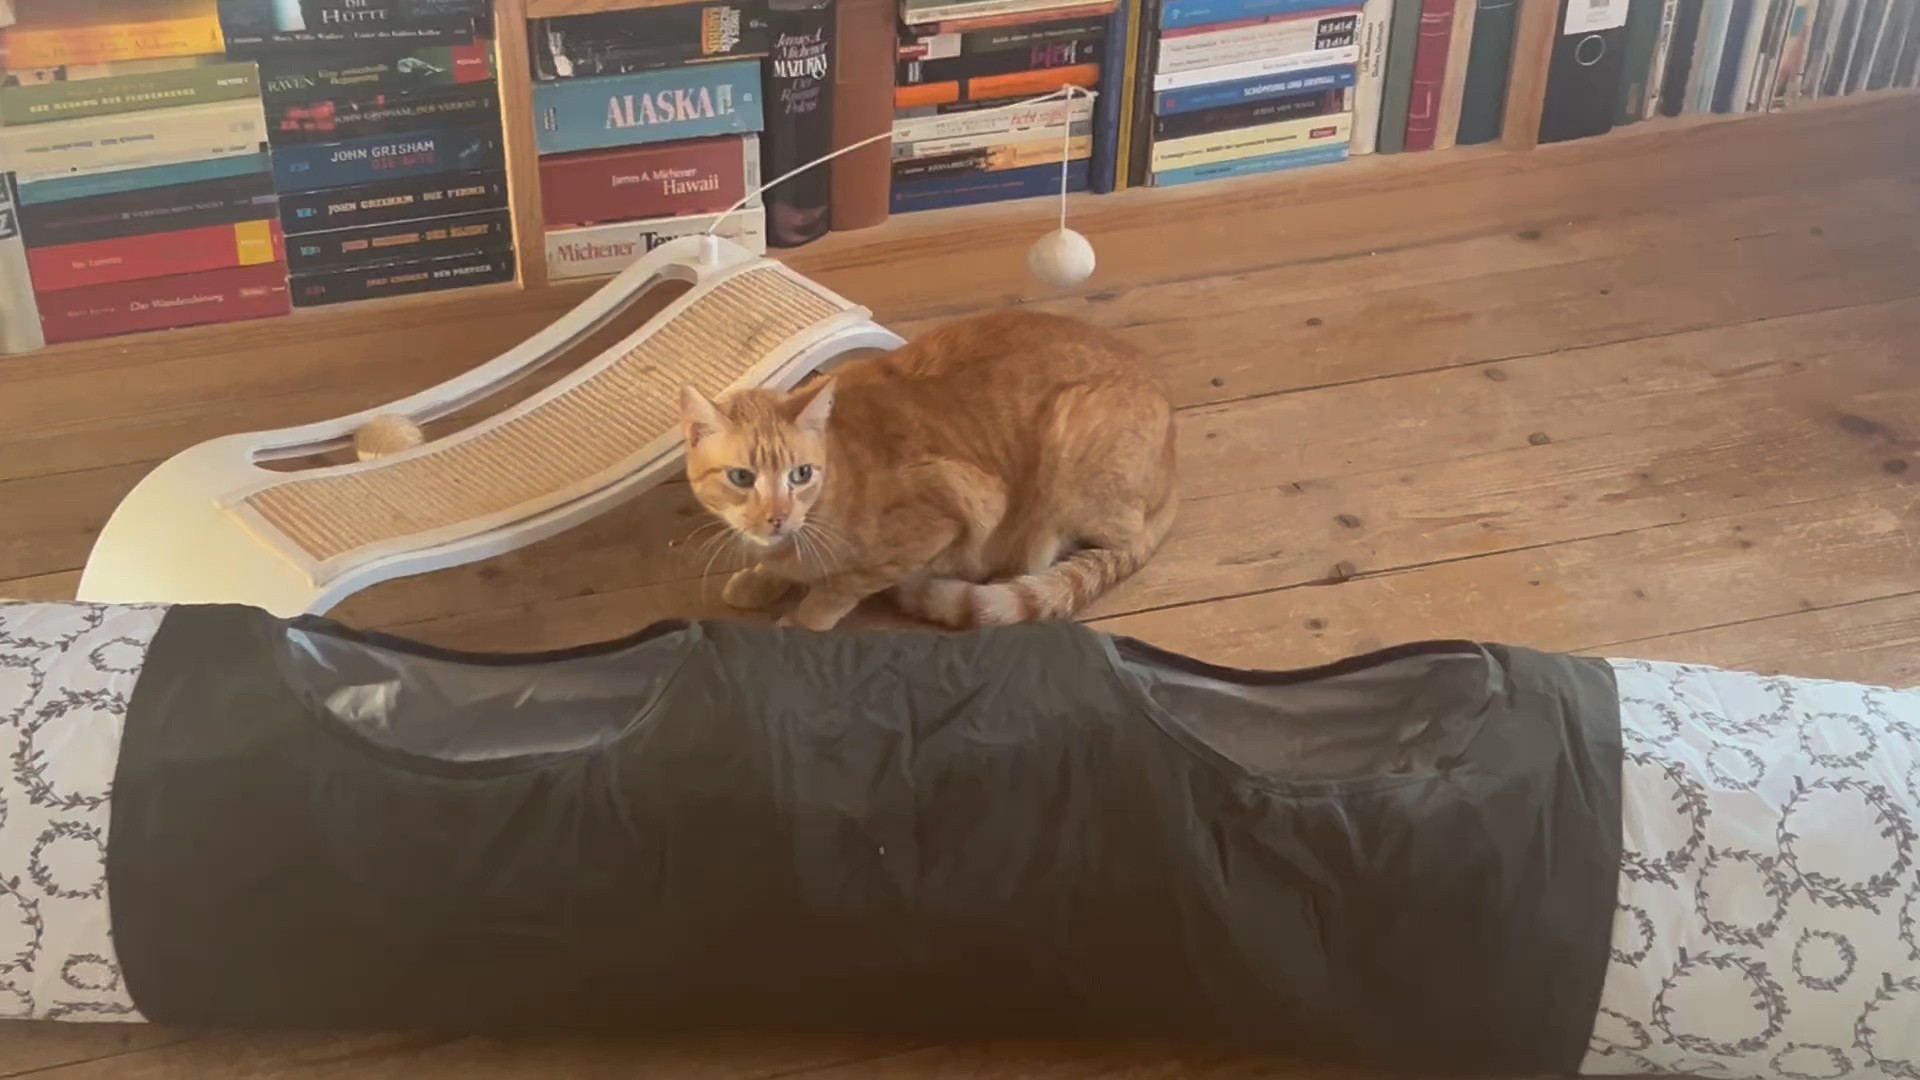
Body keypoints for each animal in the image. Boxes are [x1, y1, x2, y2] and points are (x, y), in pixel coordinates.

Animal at [678, 309, 1177, 631]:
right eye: (741, 478)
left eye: (800, 475)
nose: (777, 517)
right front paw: (760, 580)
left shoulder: (952, 514)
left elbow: (837, 589)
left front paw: (801, 621)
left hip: (1066, 461)